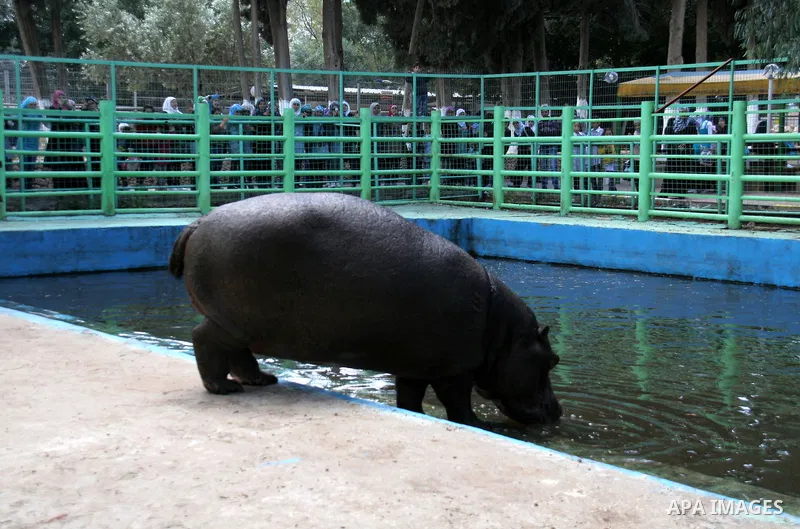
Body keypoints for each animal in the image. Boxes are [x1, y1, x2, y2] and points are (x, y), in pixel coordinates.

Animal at [168, 193, 562, 427]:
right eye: (552, 360)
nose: (558, 410)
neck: (502, 333)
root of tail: (198, 222)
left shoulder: (416, 365)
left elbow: (410, 398)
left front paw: (415, 414)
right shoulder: (456, 369)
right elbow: (458, 404)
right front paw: (481, 425)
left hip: (239, 323)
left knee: (237, 353)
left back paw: (262, 380)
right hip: (230, 321)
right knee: (204, 339)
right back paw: (223, 389)